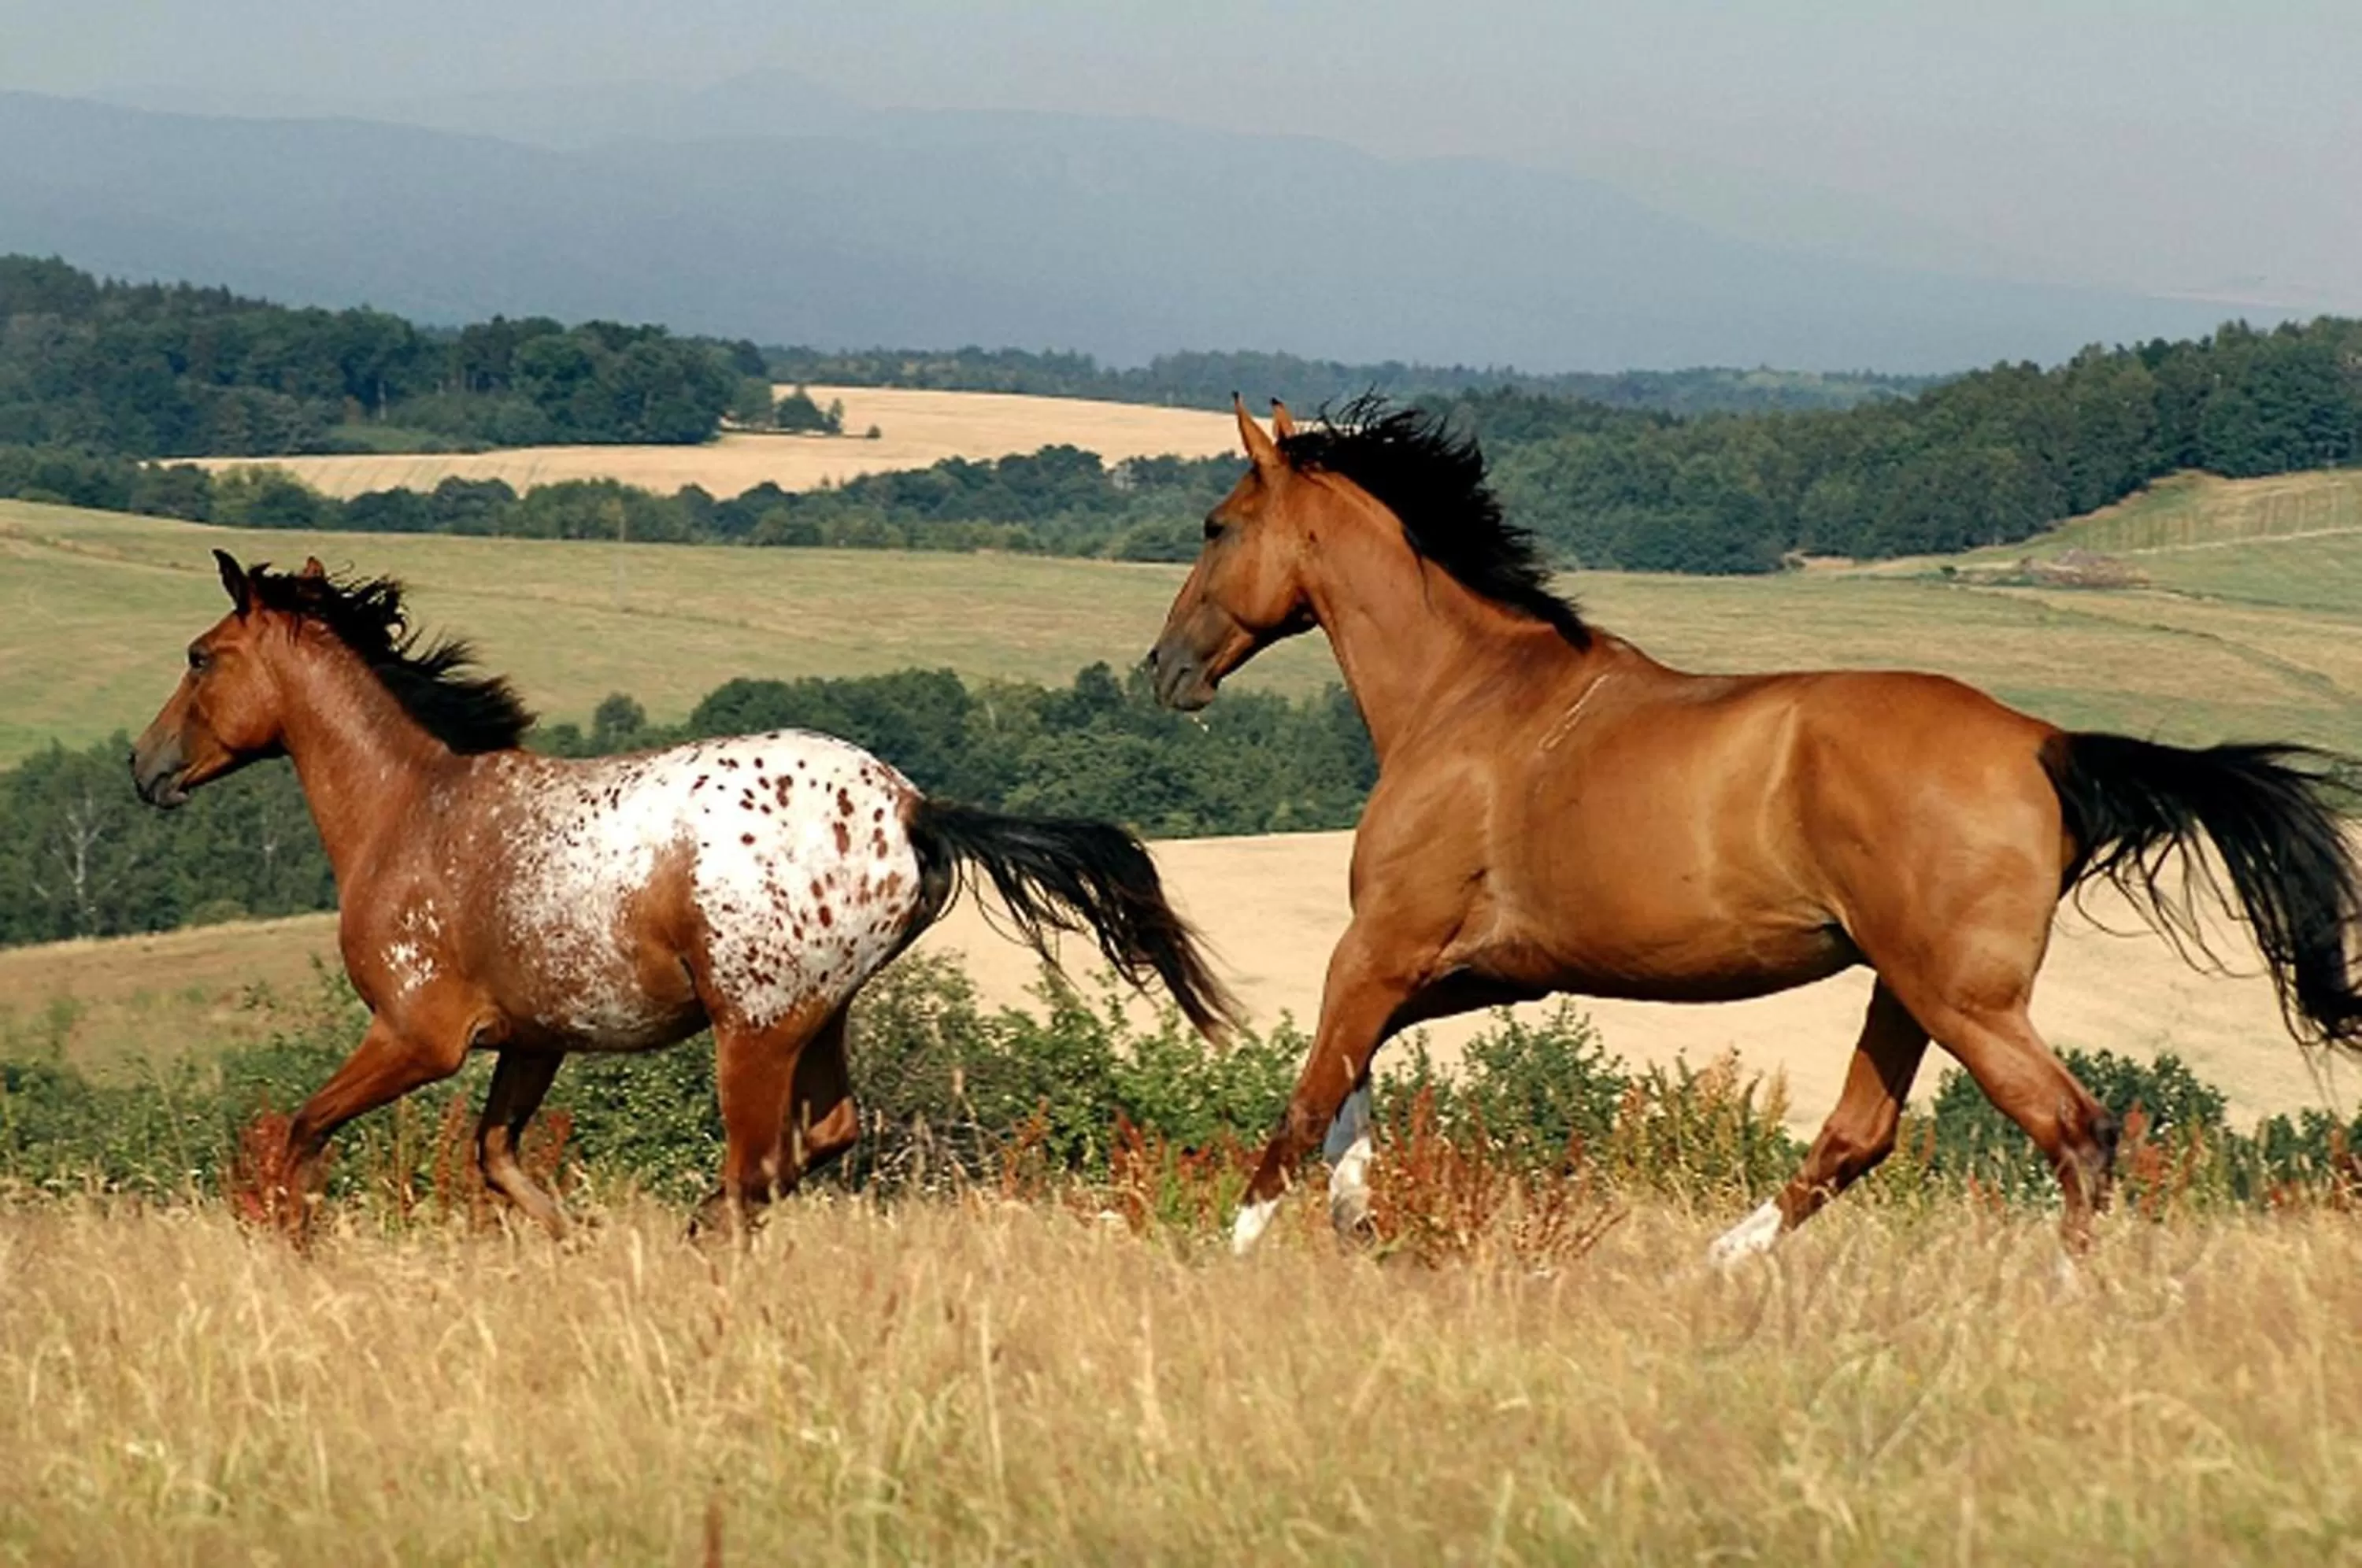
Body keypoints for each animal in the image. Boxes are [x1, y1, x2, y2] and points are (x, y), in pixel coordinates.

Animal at [133, 551, 1236, 1234]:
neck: (411, 808)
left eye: (200, 657)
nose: (144, 769)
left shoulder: (417, 1036)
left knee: (756, 1167)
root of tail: (912, 808)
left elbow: (299, 1132)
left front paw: (292, 1240)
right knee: (821, 1139)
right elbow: (496, 1155)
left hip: (751, 1030)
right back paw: (698, 1223)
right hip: (818, 1016)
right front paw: (574, 1241)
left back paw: (707, 1236)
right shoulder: (534, 1039)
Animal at [1147, 396, 2362, 1260]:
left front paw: (1237, 1252)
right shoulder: (1485, 968)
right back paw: (1720, 1262)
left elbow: (1312, 1090)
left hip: (1964, 999)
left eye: (1218, 526)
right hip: (1907, 987)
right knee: (1860, 1136)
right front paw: (1355, 1216)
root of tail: (2044, 744)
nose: (1165, 671)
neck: (1468, 695)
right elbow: (1354, 1074)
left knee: (2075, 1131)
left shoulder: (1387, 943)